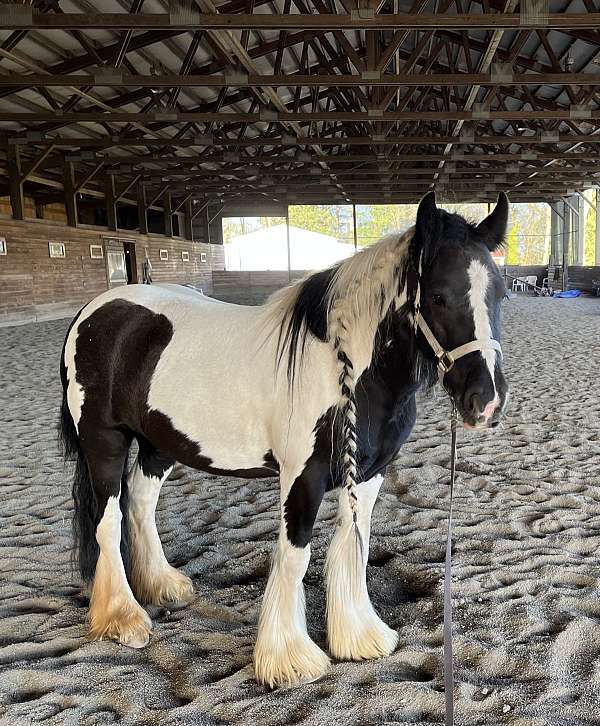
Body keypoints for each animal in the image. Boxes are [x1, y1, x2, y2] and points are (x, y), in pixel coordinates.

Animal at [59, 192, 510, 688]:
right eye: (438, 296)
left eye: (500, 294)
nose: (486, 400)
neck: (347, 370)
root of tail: (93, 310)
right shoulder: (302, 477)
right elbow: (296, 556)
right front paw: (290, 659)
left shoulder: (368, 474)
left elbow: (352, 544)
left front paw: (359, 637)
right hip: (104, 440)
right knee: (108, 520)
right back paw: (123, 618)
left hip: (160, 442)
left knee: (140, 503)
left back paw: (164, 586)